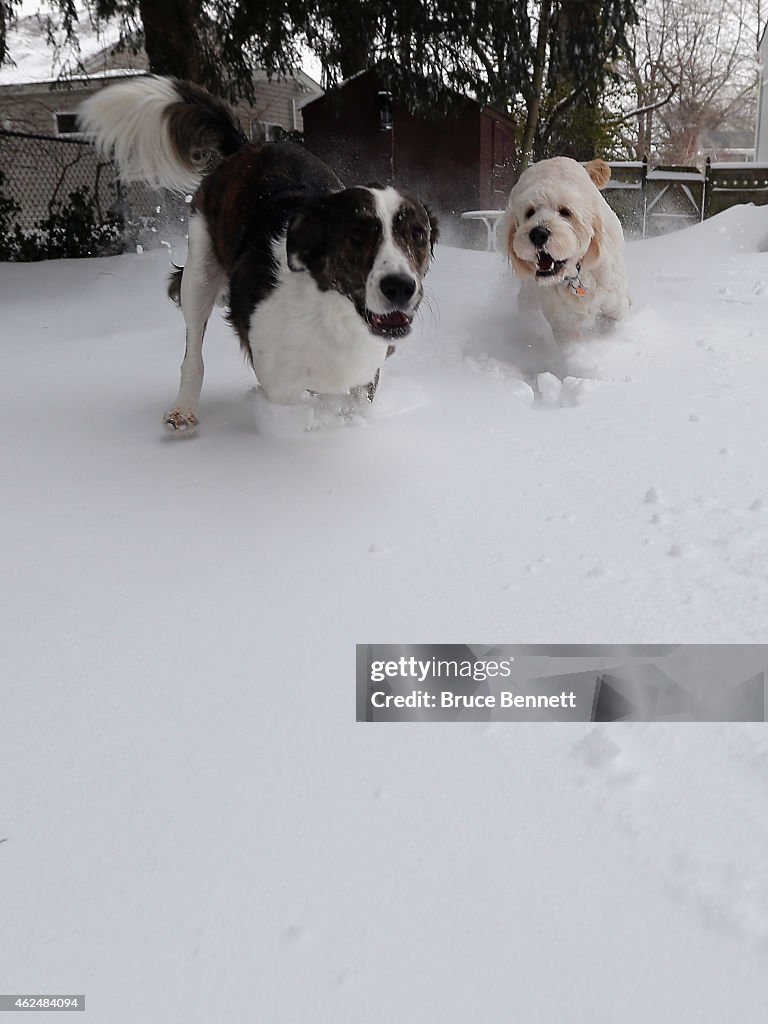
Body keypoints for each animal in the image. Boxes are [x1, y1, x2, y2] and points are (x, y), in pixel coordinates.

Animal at [78, 76, 442, 432]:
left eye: (418, 235)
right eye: (356, 235)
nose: (400, 287)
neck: (331, 310)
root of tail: (248, 146)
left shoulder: (365, 372)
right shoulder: (278, 377)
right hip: (198, 273)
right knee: (193, 352)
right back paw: (183, 408)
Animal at [505, 155, 630, 339]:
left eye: (566, 212)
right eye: (530, 212)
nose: (538, 234)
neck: (574, 276)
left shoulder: (615, 304)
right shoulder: (562, 323)